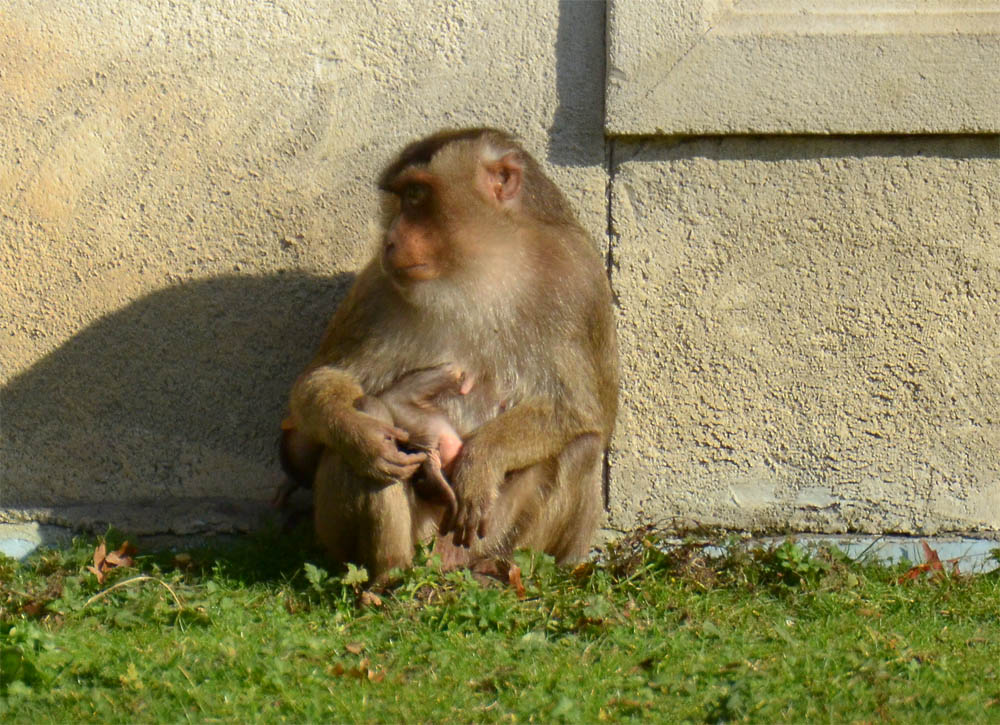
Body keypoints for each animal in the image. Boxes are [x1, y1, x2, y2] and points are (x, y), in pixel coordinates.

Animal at [284, 128, 618, 580]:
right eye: (402, 198)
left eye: (416, 196)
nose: (389, 240)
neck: (483, 270)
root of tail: (444, 562)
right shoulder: (376, 287)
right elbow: (321, 383)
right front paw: (359, 435)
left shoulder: (579, 280)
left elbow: (586, 410)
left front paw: (482, 460)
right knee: (356, 437)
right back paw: (389, 575)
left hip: (487, 534)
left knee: (580, 447)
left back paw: (499, 570)